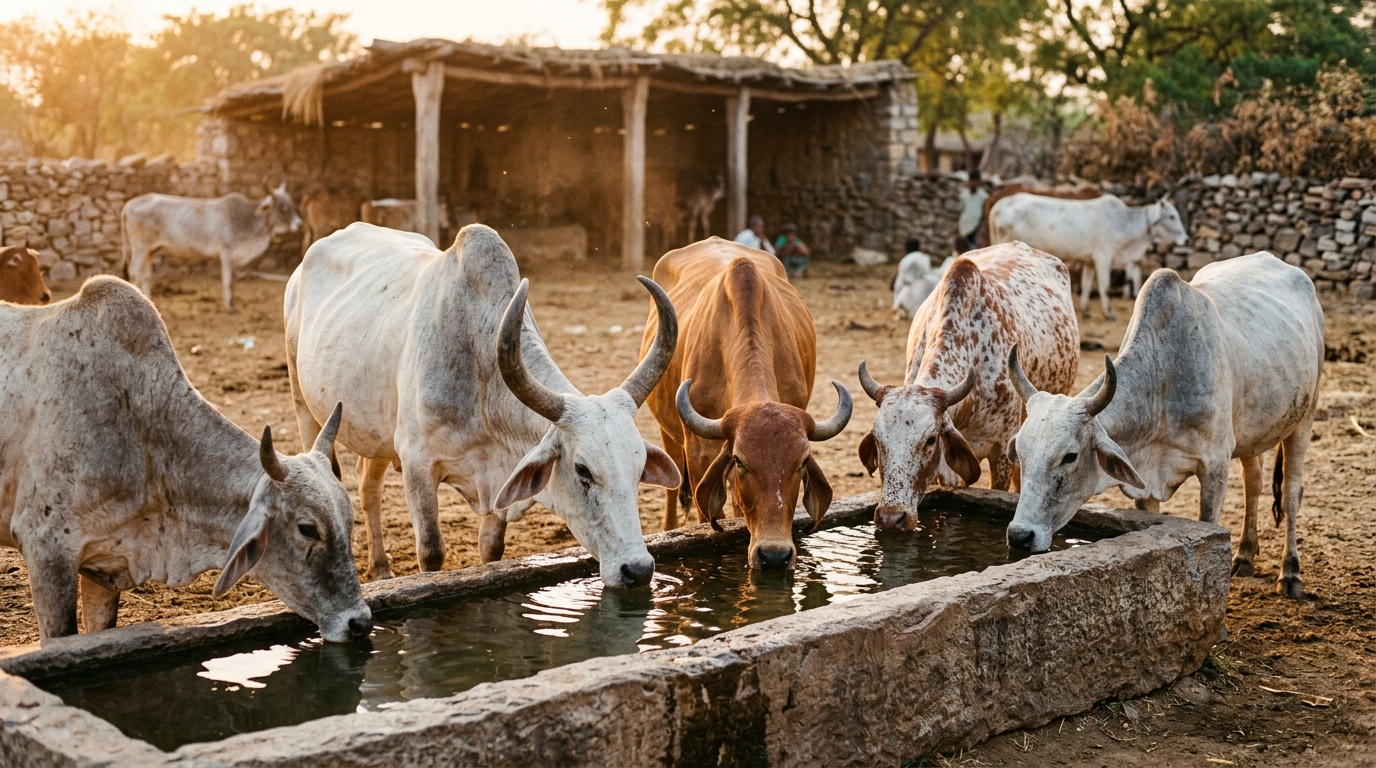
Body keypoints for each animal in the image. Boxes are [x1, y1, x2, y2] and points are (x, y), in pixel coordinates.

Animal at [121, 183, 302, 314]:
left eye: (292, 203)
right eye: (282, 206)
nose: (299, 224)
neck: (246, 219)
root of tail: (128, 206)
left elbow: (233, 281)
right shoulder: (226, 252)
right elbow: (228, 281)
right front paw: (230, 308)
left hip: (150, 252)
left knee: (146, 276)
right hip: (140, 250)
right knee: (134, 272)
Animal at [286, 223, 680, 588]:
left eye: (639, 468)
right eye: (582, 470)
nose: (637, 569)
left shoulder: (499, 476)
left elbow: (491, 549)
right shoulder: (417, 464)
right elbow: (431, 552)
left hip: (375, 431)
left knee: (368, 488)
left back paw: (381, 568)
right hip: (304, 407)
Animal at [988, 193, 1188, 320]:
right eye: (1171, 216)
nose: (1186, 239)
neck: (1125, 223)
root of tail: (999, 206)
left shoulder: (1090, 262)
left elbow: (1086, 285)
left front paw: (1085, 311)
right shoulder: (1104, 258)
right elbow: (1104, 287)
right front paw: (1109, 313)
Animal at [1004, 252, 1323, 598]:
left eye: (1069, 456)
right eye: (1020, 454)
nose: (1020, 535)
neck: (1163, 385)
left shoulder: (1215, 466)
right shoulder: (1145, 482)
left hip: (1304, 418)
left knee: (1291, 491)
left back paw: (1290, 572)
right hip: (1252, 433)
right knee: (1254, 482)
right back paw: (1245, 555)